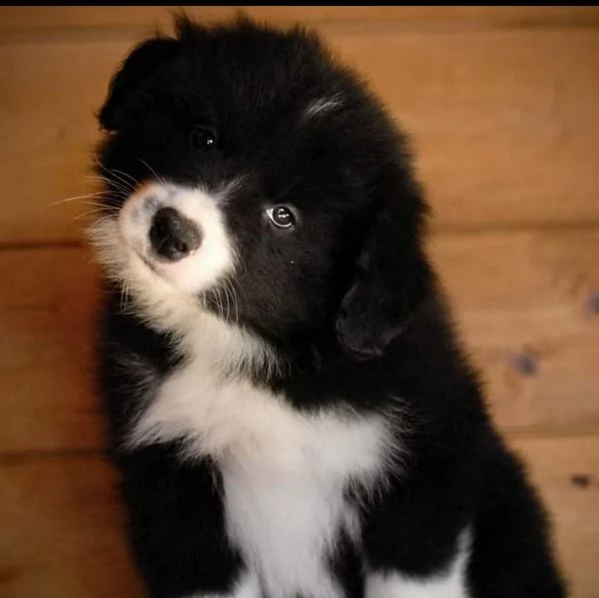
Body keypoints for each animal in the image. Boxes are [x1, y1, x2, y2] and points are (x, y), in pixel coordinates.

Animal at [89, 12, 568, 598]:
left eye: (284, 216)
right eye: (204, 137)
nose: (171, 232)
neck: (255, 357)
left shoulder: (425, 465)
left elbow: (413, 573)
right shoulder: (170, 483)